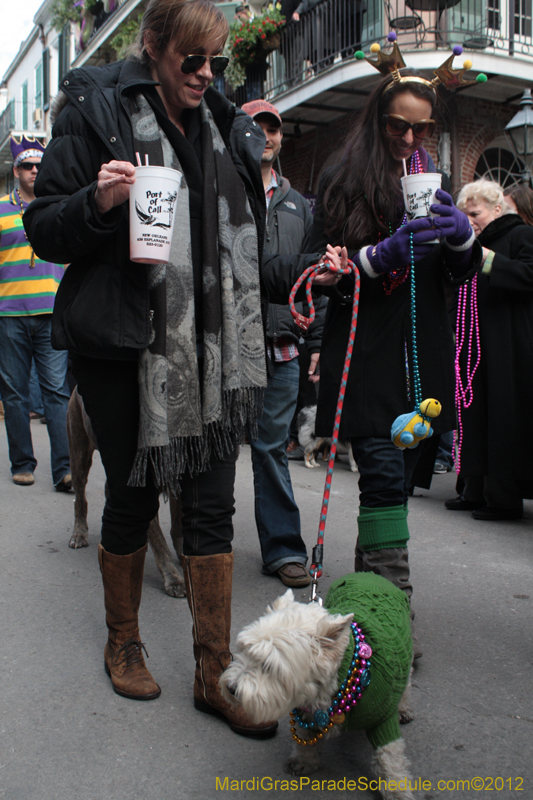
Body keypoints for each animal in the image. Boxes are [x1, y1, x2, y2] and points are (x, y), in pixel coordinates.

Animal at [220, 572, 416, 796]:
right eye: (244, 650)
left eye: (269, 666)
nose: (231, 689)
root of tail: (370, 574)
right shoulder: (306, 711)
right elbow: (305, 739)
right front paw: (303, 761)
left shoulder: (383, 720)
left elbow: (389, 756)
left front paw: (397, 789)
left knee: (406, 683)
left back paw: (403, 709)